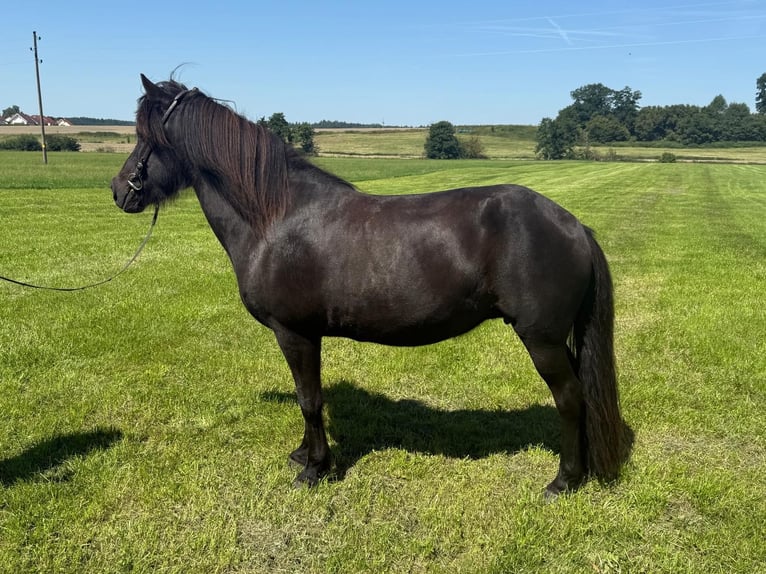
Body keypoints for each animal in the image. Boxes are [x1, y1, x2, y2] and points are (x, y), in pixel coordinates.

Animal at [112, 74, 625, 497]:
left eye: (146, 137)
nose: (119, 190)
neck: (275, 217)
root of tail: (574, 225)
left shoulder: (295, 333)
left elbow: (309, 399)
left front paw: (315, 469)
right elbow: (307, 398)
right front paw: (303, 455)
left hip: (541, 339)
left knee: (570, 398)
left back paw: (564, 481)